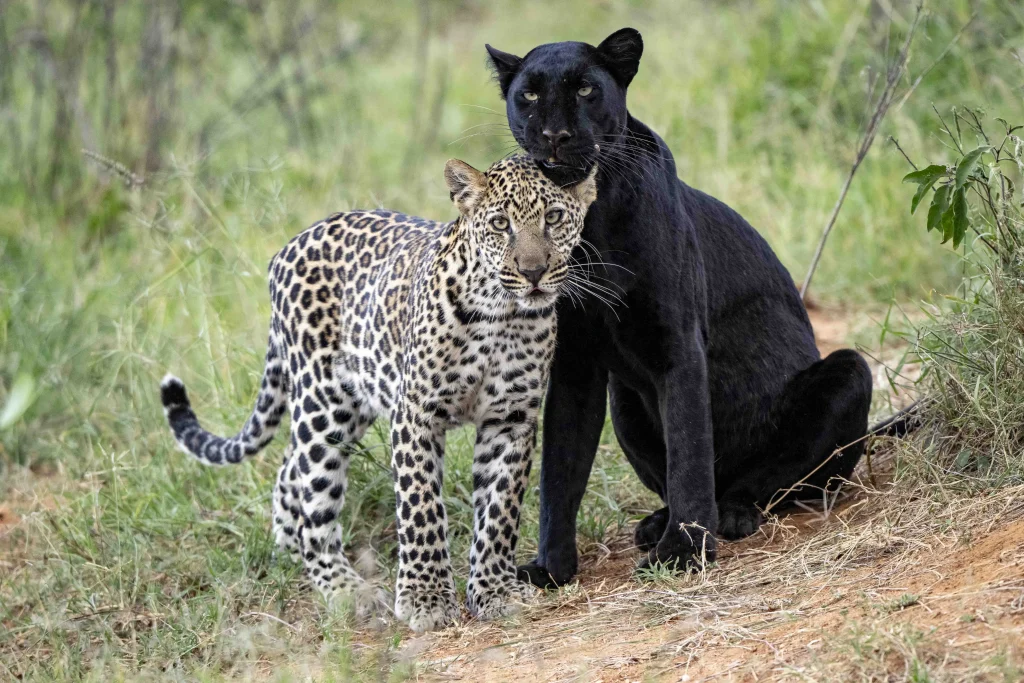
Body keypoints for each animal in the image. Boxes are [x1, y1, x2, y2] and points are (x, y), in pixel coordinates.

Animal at [159, 152, 598, 632]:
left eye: (553, 217)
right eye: (501, 224)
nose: (533, 272)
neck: (501, 316)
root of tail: (286, 248)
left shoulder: (511, 417)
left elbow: (499, 509)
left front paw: (495, 590)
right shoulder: (416, 412)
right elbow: (421, 505)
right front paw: (426, 599)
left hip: (353, 402)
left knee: (289, 468)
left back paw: (289, 548)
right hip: (324, 404)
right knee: (314, 498)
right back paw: (345, 589)